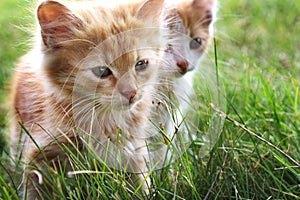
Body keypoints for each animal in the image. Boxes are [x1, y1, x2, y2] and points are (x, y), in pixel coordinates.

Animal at [10, 0, 172, 198]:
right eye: (102, 71)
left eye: (140, 64)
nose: (131, 93)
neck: (105, 118)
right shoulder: (40, 152)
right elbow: (37, 189)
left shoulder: (133, 148)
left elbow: (139, 182)